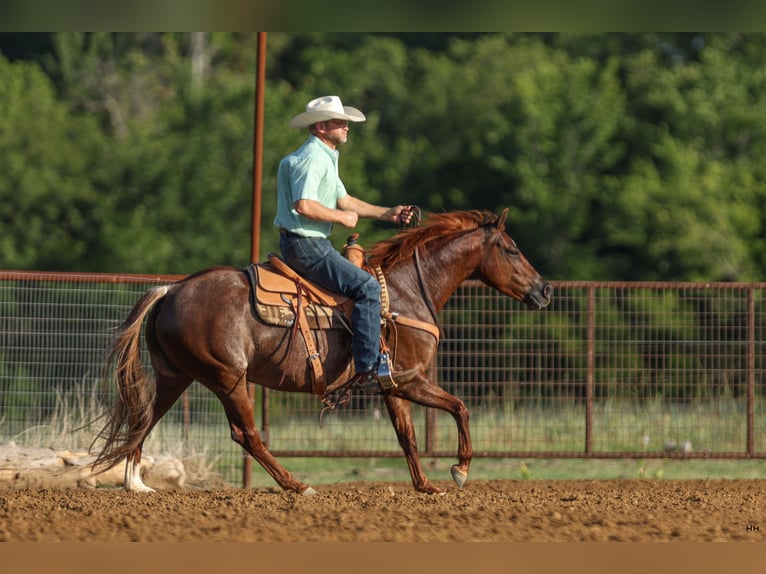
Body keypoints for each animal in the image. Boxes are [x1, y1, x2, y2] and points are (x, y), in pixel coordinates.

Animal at [93, 209, 556, 498]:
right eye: (512, 248)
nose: (546, 289)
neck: (405, 291)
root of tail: (171, 290)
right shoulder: (410, 379)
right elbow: (460, 407)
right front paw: (459, 471)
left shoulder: (392, 385)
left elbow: (407, 436)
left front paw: (426, 486)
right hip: (229, 379)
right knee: (247, 435)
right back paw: (298, 486)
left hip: (177, 376)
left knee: (144, 418)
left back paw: (136, 484)